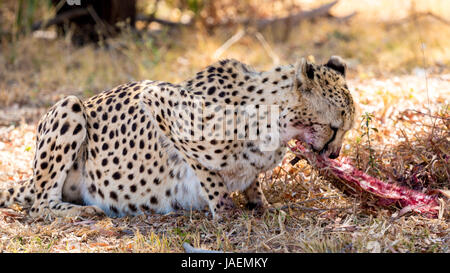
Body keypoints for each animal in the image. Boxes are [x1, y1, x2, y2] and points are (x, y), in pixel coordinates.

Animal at [0, 56, 356, 218]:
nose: (335, 155)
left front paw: (261, 204)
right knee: (38, 204)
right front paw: (226, 211)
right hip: (70, 106)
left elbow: (251, 180)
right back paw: (82, 211)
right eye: (335, 127)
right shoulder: (157, 97)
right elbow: (206, 172)